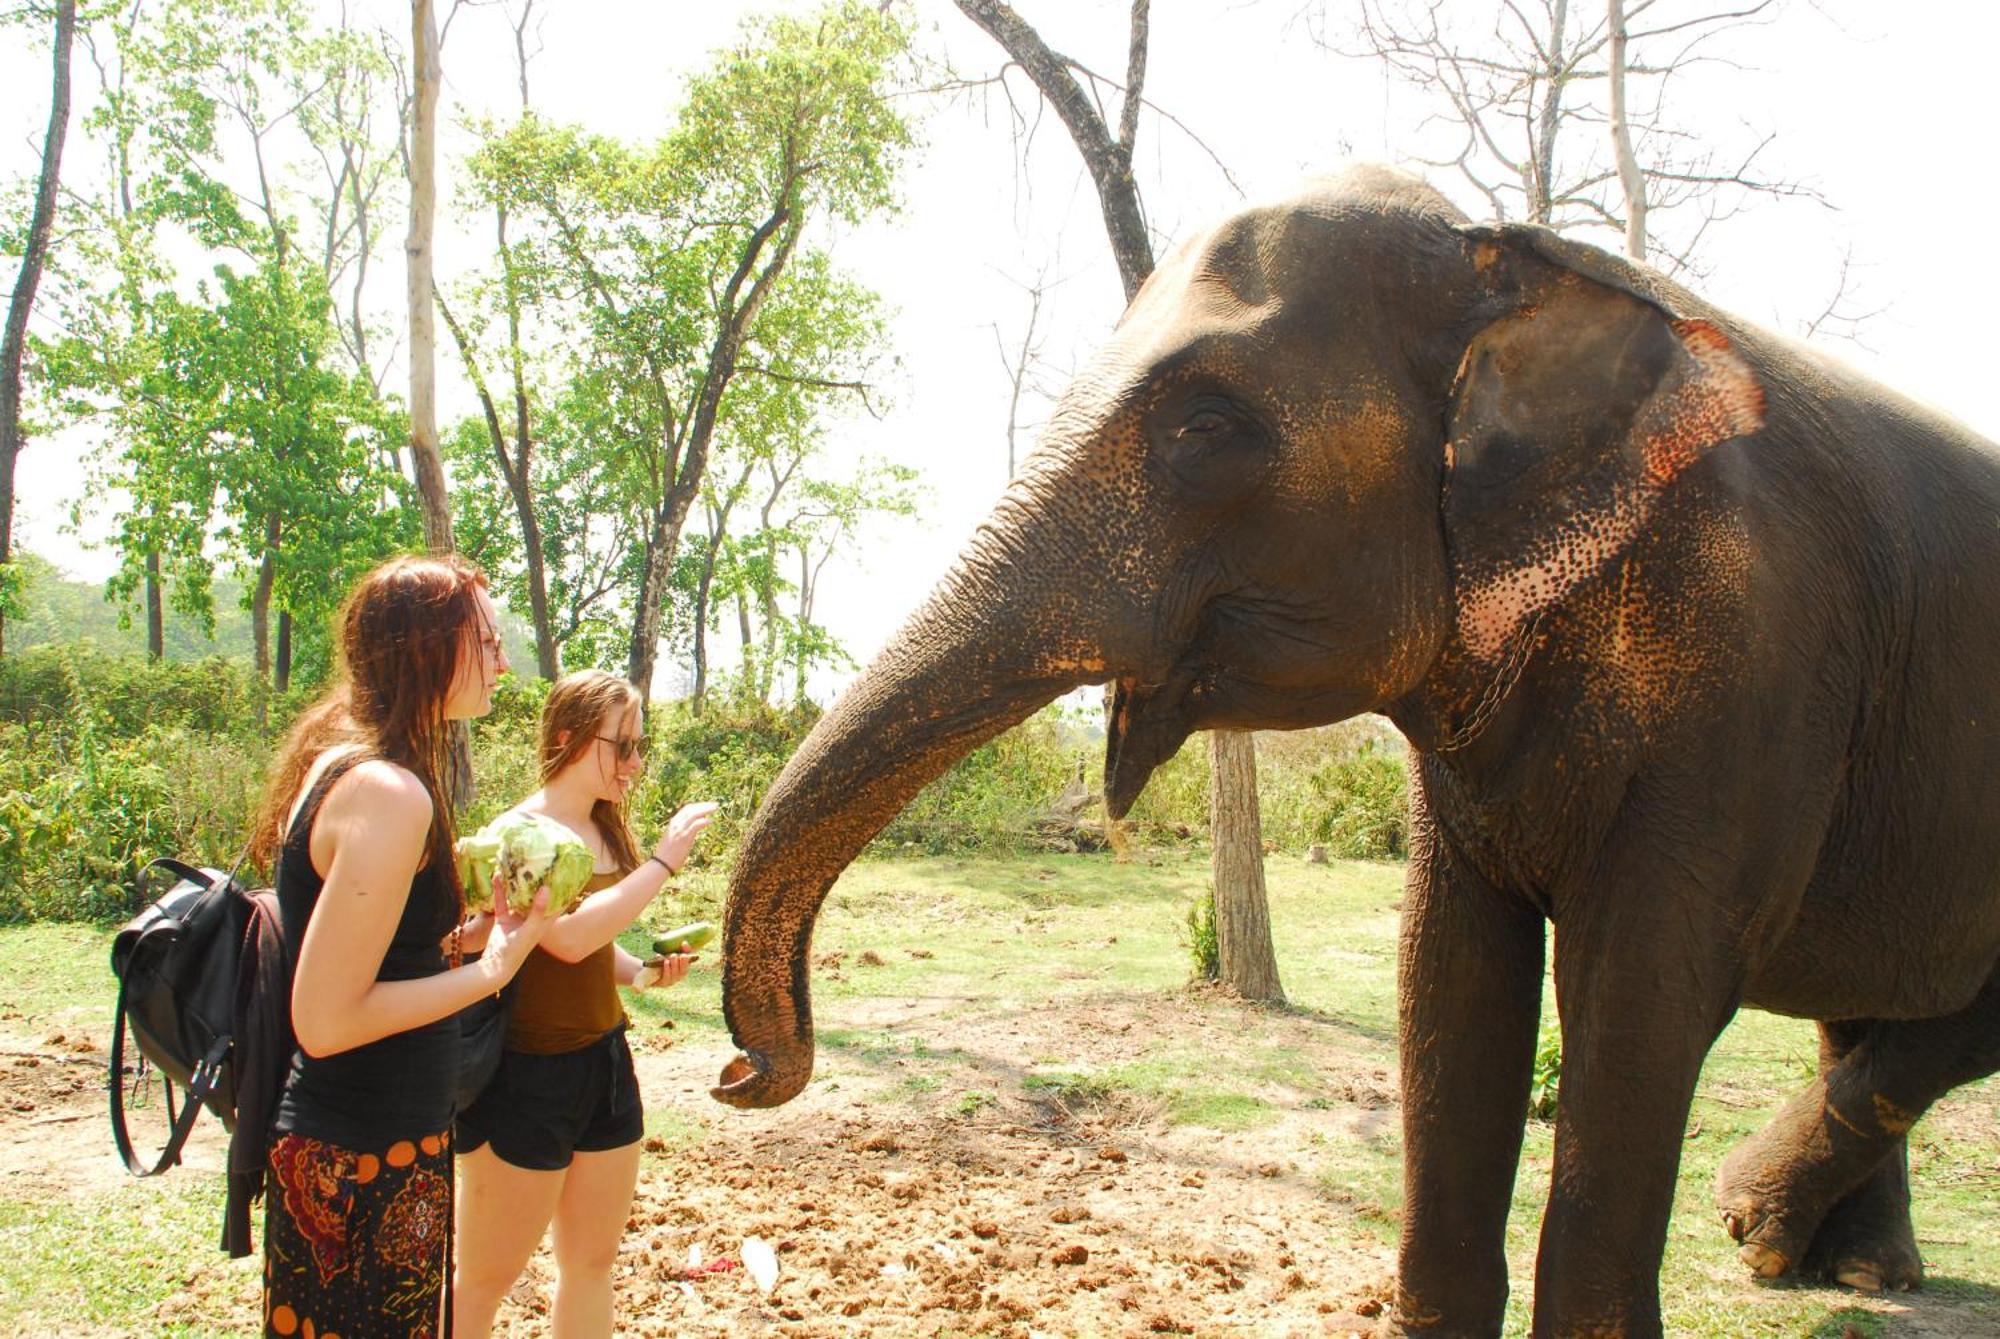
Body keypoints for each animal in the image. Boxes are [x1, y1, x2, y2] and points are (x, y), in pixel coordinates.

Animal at [708, 170, 2000, 1339]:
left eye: (1205, 428)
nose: (740, 1076)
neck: (1510, 258)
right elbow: (1445, 973)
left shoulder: (1750, 672)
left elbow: (1639, 991)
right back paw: (1820, 1264)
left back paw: (1780, 1236)